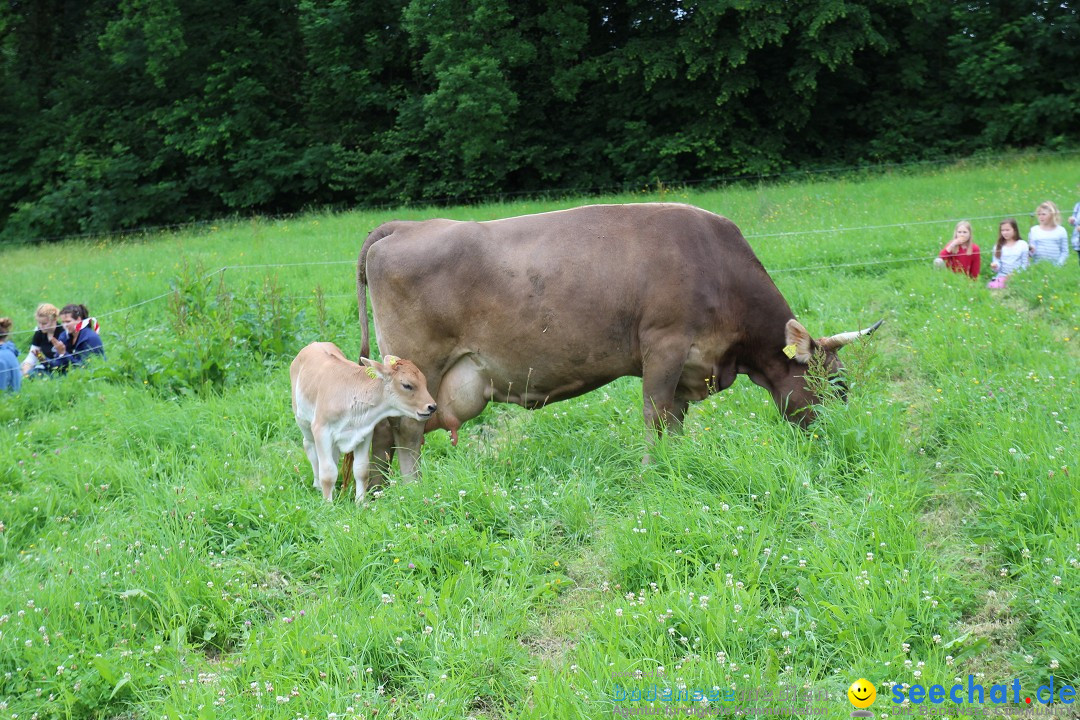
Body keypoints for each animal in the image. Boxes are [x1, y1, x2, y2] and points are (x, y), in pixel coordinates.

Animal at [291, 343, 438, 500]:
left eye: (424, 382)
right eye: (407, 385)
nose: (432, 407)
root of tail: (315, 344)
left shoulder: (364, 432)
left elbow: (361, 470)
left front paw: (361, 502)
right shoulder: (322, 430)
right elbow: (328, 473)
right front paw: (328, 503)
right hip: (303, 421)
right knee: (310, 448)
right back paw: (318, 485)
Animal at [352, 204, 876, 479]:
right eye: (838, 387)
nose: (842, 440)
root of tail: (406, 225)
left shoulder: (686, 366)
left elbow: (675, 421)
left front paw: (674, 463)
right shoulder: (663, 346)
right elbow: (655, 415)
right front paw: (650, 470)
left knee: (382, 433)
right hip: (418, 369)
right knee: (405, 431)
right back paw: (412, 489)